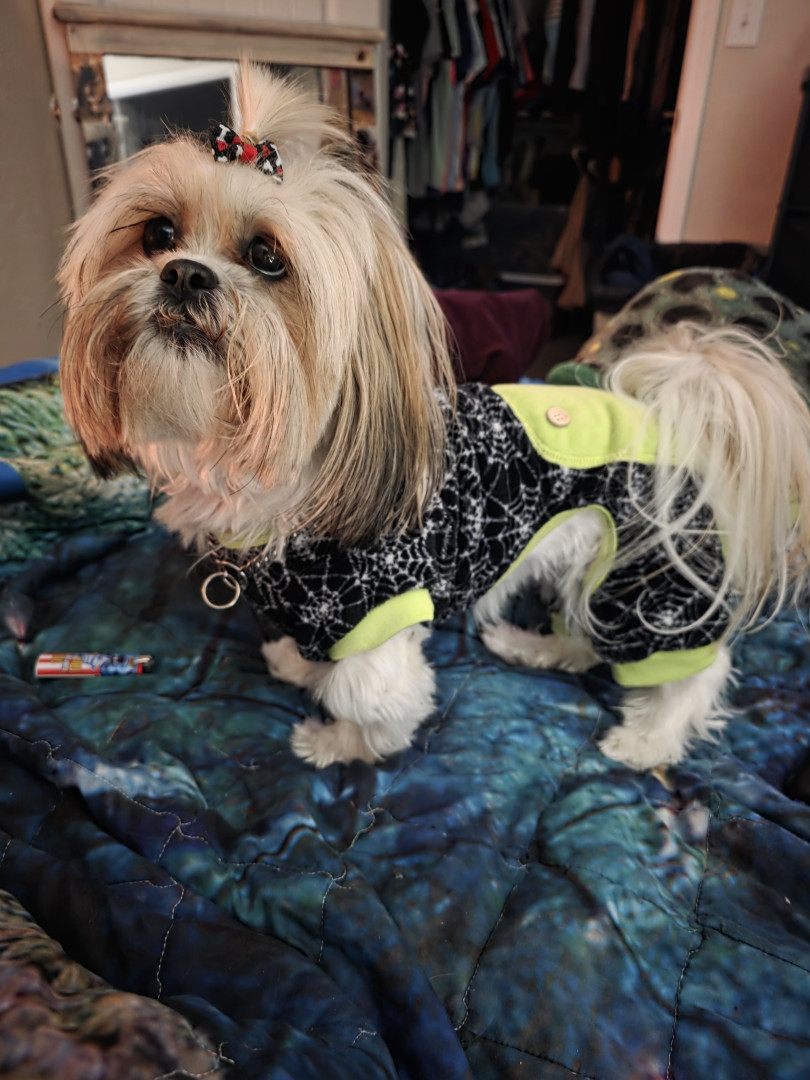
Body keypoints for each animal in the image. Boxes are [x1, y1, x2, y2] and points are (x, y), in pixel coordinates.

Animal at [58, 66, 810, 772]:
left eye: (267, 258)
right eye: (158, 233)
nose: (184, 272)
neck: (272, 475)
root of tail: (674, 413)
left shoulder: (374, 613)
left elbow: (372, 699)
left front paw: (338, 743)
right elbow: (317, 655)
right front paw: (299, 664)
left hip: (649, 579)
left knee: (690, 670)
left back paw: (648, 740)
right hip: (599, 569)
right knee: (585, 633)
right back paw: (533, 647)